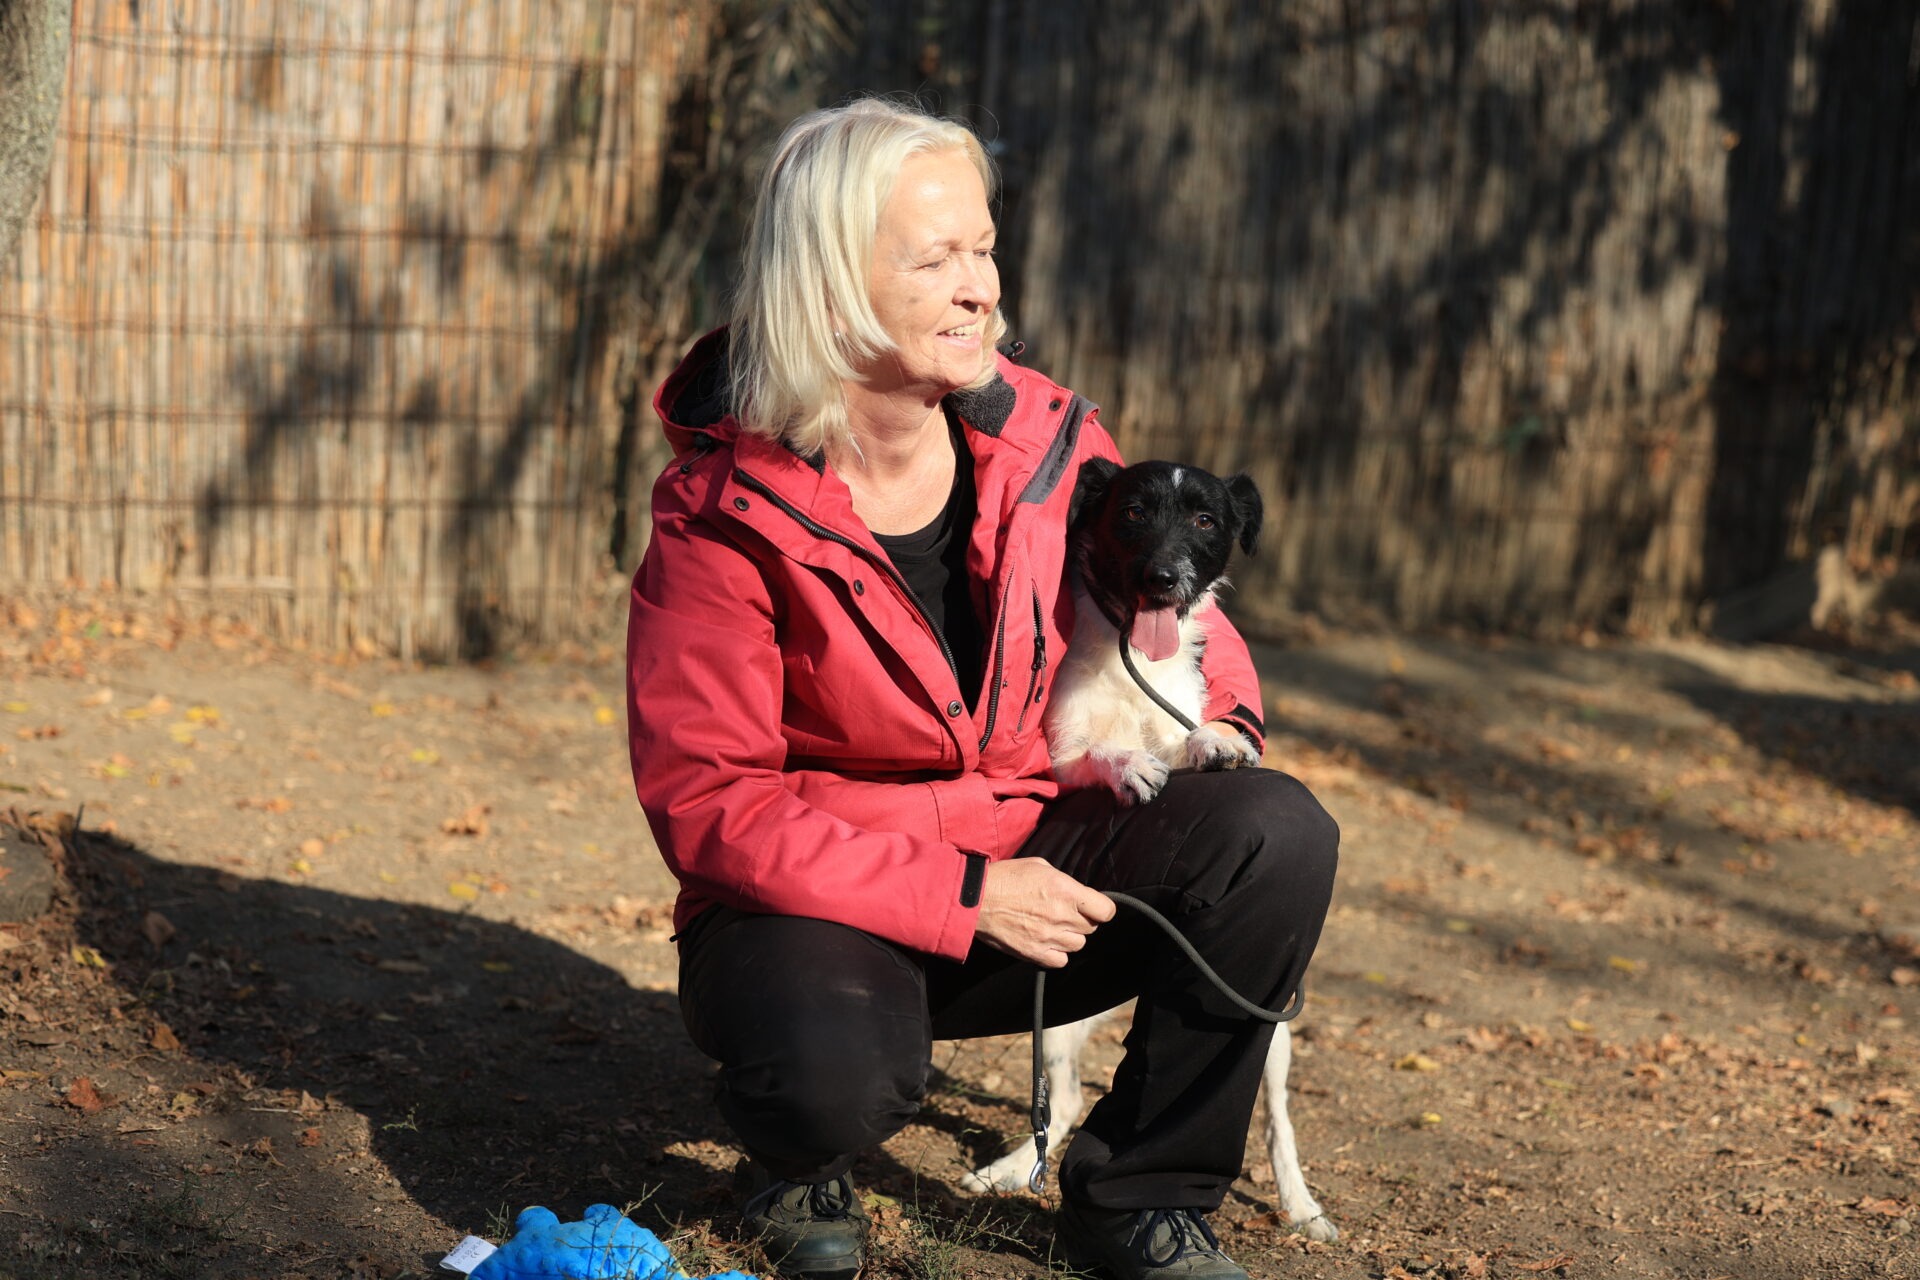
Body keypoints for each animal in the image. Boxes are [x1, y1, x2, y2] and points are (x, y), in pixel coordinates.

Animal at [962, 458, 1337, 1242]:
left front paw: (1218, 743)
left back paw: (1303, 1208)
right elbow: (1102, 752)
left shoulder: (1178, 723)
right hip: (1058, 1016)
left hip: (1272, 1030)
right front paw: (1130, 763)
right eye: (1132, 512)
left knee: (1278, 1124)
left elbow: (1193, 738)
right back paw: (1005, 1172)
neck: (1132, 654)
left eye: (1205, 519)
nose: (1164, 577)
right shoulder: (1057, 759)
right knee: (1063, 1105)